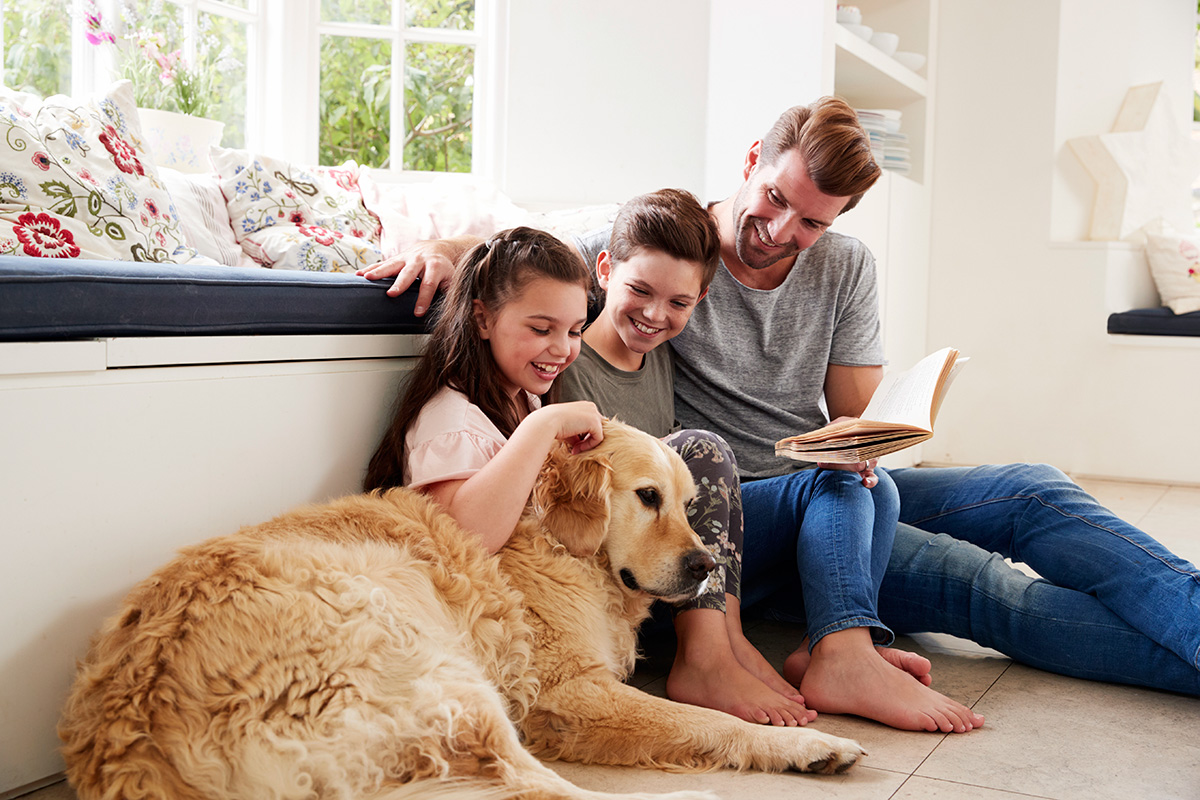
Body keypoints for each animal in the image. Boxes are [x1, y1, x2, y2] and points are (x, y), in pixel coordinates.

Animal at [60, 419, 864, 800]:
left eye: (690, 504)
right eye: (646, 497)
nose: (705, 567)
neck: (562, 547)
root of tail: (135, 744)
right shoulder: (567, 693)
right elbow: (708, 721)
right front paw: (803, 742)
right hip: (439, 670)